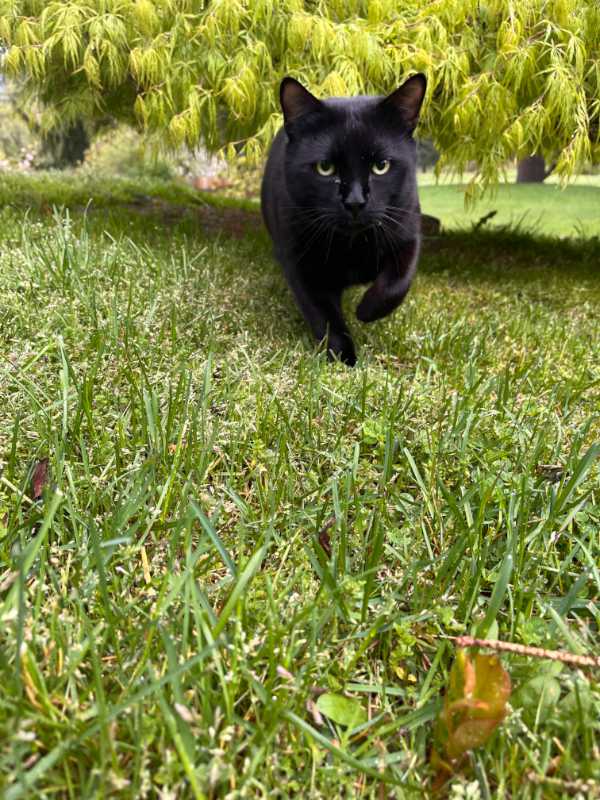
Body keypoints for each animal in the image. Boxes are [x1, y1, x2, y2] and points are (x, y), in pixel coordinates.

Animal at [262, 73, 426, 368]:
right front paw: (344, 358)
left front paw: (366, 311)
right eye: (325, 168)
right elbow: (324, 316)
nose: (355, 202)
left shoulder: (406, 233)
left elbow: (396, 284)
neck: (353, 245)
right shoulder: (301, 264)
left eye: (381, 166)